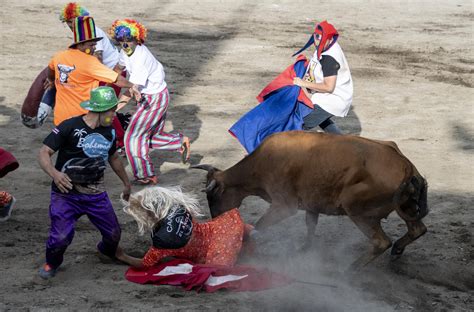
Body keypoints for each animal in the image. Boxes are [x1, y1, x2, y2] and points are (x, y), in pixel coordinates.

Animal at [191, 130, 428, 266]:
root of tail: (405, 165)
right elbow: (310, 225)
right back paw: (398, 250)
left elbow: (259, 226)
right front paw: (305, 250)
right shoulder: (311, 203)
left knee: (381, 242)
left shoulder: (284, 206)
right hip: (406, 207)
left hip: (357, 210)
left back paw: (350, 269)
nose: (216, 219)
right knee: (418, 229)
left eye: (213, 197)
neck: (260, 164)